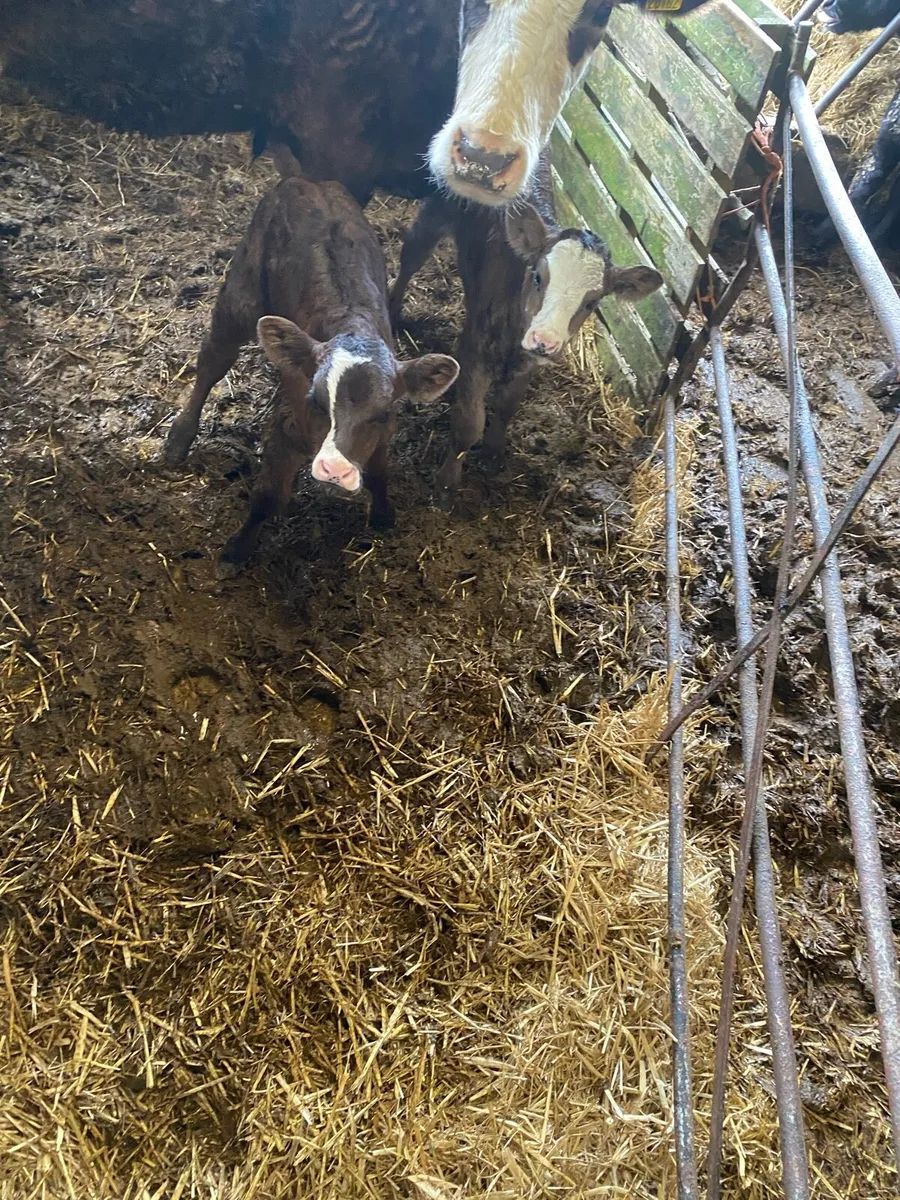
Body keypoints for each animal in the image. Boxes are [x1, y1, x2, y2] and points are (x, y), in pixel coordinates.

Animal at [164, 171, 459, 564]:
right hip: (242, 294)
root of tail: (308, 180)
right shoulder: (286, 428)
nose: (335, 469)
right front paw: (237, 551)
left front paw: (383, 515)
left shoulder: (383, 434)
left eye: (383, 413)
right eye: (317, 402)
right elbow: (268, 495)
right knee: (213, 360)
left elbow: (379, 473)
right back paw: (179, 437)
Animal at [389, 152, 663, 504]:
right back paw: (393, 311)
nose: (544, 339)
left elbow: (508, 406)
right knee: (412, 256)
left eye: (591, 303)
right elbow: (468, 424)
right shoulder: (474, 351)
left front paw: (492, 454)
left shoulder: (529, 363)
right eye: (537, 277)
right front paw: (447, 485)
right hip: (436, 210)